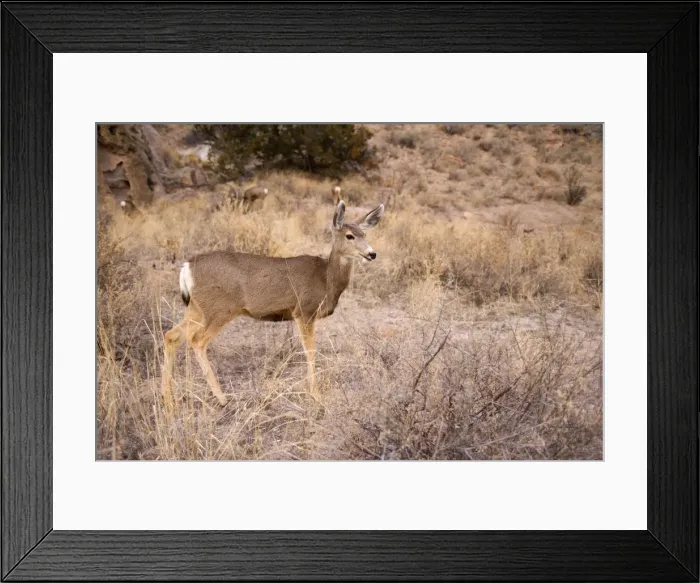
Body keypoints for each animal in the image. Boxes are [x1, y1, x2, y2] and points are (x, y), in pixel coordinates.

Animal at [161, 199, 385, 406]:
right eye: (349, 235)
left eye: (365, 235)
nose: (372, 254)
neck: (326, 279)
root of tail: (187, 266)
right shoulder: (304, 311)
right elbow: (310, 351)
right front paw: (315, 394)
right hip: (219, 308)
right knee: (197, 340)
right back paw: (222, 398)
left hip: (197, 308)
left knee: (172, 335)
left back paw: (168, 399)